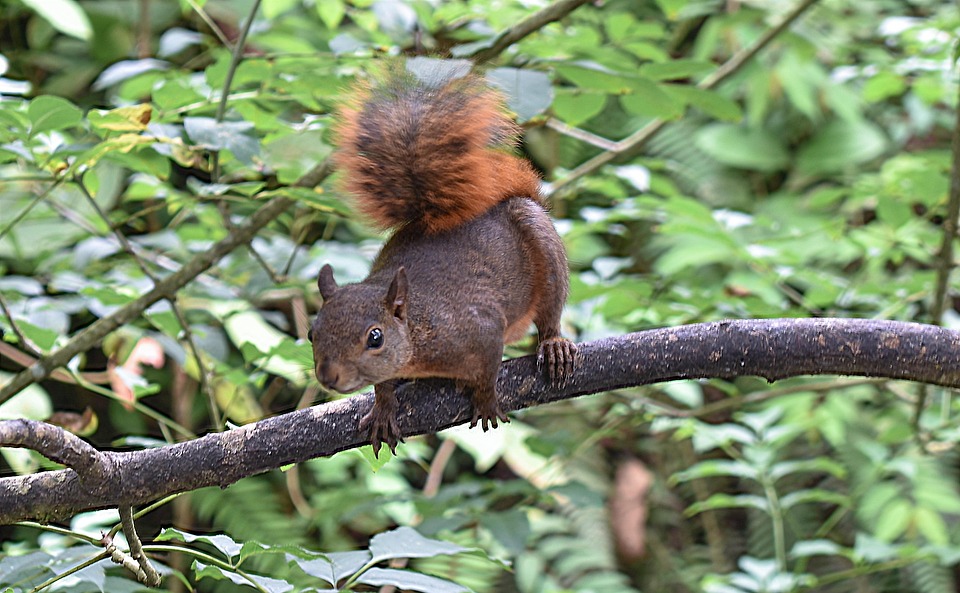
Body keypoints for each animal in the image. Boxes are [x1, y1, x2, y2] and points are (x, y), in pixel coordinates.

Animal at [309, 68, 578, 456]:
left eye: (376, 338)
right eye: (311, 333)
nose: (328, 375)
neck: (418, 330)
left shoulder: (479, 327)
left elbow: (488, 370)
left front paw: (485, 399)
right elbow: (383, 385)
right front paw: (383, 409)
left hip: (543, 249)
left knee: (549, 313)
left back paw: (553, 345)